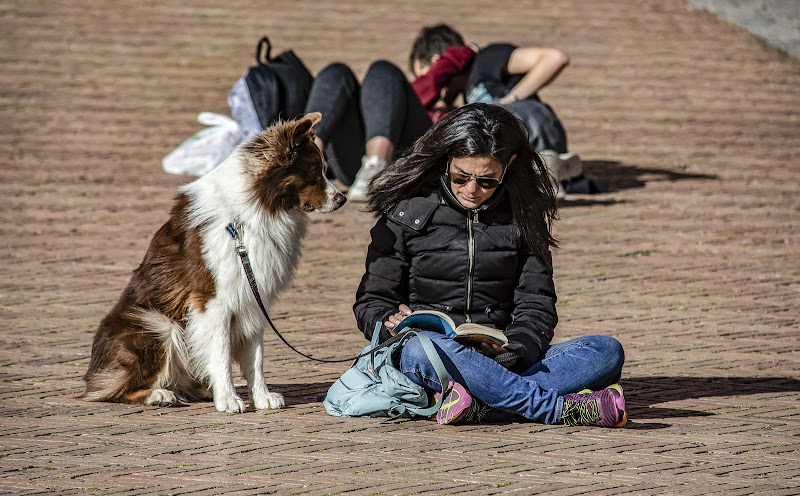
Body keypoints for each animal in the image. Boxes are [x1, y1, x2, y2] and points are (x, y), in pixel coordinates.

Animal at [81, 114, 346, 412]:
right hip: (158, 324)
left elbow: (256, 358)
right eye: (315, 172)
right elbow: (220, 353)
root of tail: (92, 372)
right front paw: (228, 398)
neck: (250, 211)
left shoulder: (253, 296)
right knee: (112, 390)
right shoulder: (213, 301)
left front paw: (261, 396)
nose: (343, 199)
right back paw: (159, 394)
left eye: (325, 170)